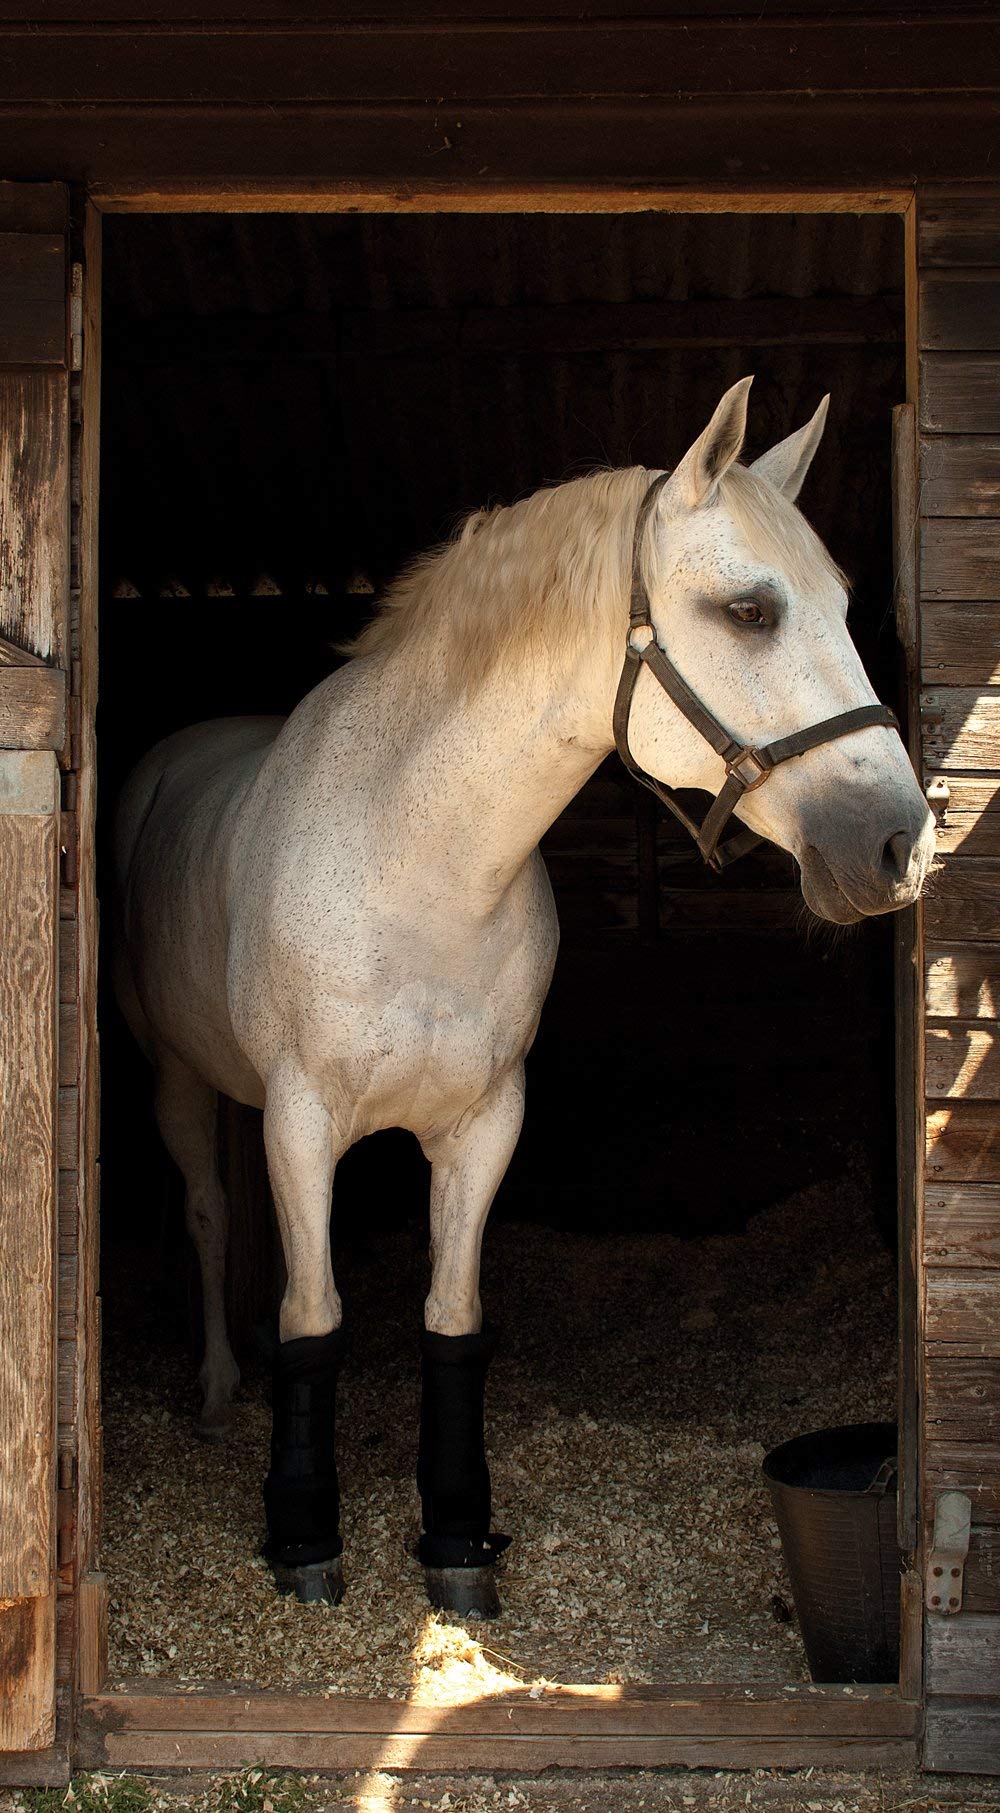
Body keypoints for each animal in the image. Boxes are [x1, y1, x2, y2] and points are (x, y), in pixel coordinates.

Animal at [112, 377, 935, 1618]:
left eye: (844, 606)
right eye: (749, 610)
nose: (896, 844)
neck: (415, 859)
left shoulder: (484, 1120)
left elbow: (453, 1321)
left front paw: (457, 1539)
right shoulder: (305, 1118)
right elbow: (315, 1318)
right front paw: (303, 1539)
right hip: (178, 1081)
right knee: (211, 1220)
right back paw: (215, 1387)